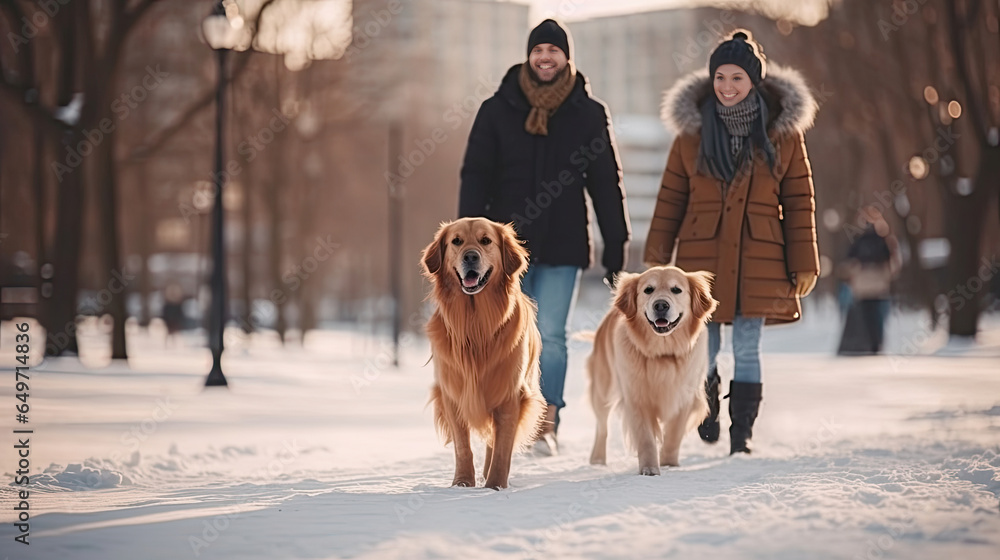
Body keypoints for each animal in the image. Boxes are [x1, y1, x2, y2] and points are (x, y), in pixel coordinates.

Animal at [422, 217, 548, 488]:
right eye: (456, 241)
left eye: (486, 240)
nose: (470, 256)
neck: (476, 324)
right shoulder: (452, 393)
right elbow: (462, 446)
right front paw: (462, 482)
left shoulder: (510, 393)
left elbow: (502, 448)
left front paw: (495, 485)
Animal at [584, 266, 720, 472]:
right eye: (648, 290)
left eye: (676, 290)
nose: (661, 305)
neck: (662, 353)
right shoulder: (636, 397)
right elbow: (645, 438)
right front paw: (649, 469)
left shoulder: (684, 398)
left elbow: (673, 435)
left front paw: (669, 464)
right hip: (602, 389)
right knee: (602, 427)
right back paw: (597, 460)